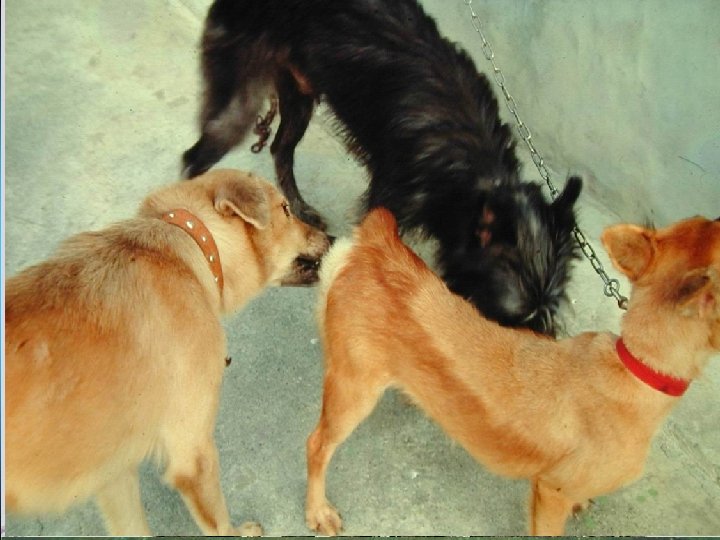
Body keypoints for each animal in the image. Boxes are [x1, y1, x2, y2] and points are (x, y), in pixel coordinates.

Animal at [5, 169, 330, 536]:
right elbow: (220, 524)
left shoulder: (115, 476)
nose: (331, 236)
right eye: (286, 209)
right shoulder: (193, 455)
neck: (190, 252)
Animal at [181, 0, 583, 336]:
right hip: (237, 106)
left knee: (280, 149)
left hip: (299, 94)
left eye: (546, 320)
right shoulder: (386, 205)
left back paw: (299, 209)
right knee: (192, 162)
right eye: (508, 317)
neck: (473, 174)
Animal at [305, 208, 719, 535]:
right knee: (317, 445)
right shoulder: (550, 493)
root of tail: (379, 246)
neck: (638, 369)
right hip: (353, 390)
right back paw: (316, 510)